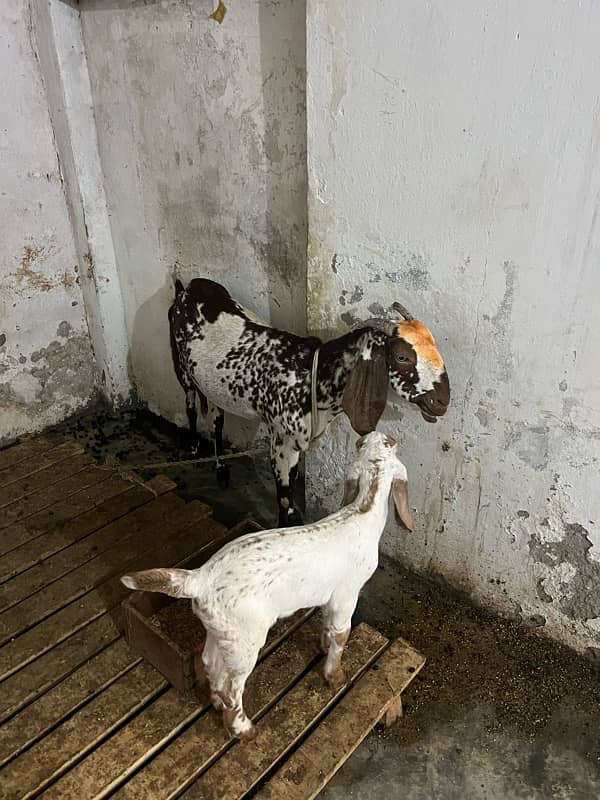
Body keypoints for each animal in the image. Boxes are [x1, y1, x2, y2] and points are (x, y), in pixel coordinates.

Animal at [120, 434, 412, 740]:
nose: (377, 436)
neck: (361, 513)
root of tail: (200, 578)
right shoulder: (347, 595)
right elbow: (341, 635)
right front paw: (335, 677)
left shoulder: (327, 597)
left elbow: (326, 625)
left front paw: (322, 647)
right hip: (246, 639)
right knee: (232, 688)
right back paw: (244, 730)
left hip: (223, 632)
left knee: (211, 664)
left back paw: (216, 704)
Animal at [169, 278, 450, 528]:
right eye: (402, 357)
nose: (442, 400)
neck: (313, 374)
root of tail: (187, 287)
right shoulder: (281, 440)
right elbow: (283, 495)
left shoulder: (297, 442)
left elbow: (294, 479)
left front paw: (295, 515)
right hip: (182, 369)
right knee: (191, 407)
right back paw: (193, 449)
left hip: (212, 385)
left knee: (216, 419)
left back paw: (221, 469)